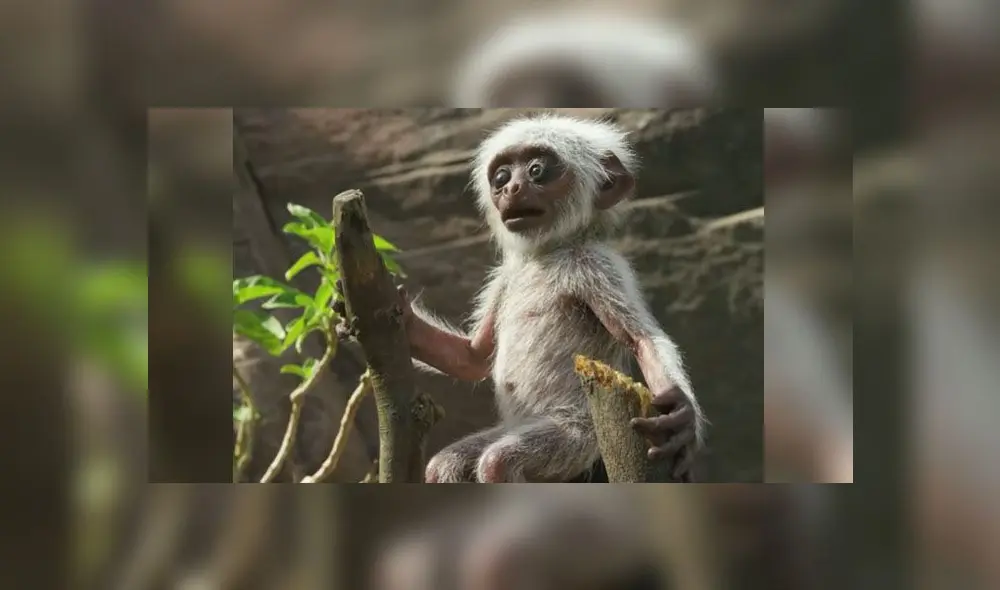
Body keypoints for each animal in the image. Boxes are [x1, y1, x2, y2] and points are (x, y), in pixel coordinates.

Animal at [398, 113, 706, 483]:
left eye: (537, 171)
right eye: (501, 177)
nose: (511, 188)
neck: (544, 255)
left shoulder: (595, 265)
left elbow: (641, 338)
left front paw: (681, 413)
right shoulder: (505, 278)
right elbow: (473, 356)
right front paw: (404, 320)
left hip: (579, 436)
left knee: (500, 460)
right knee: (445, 464)